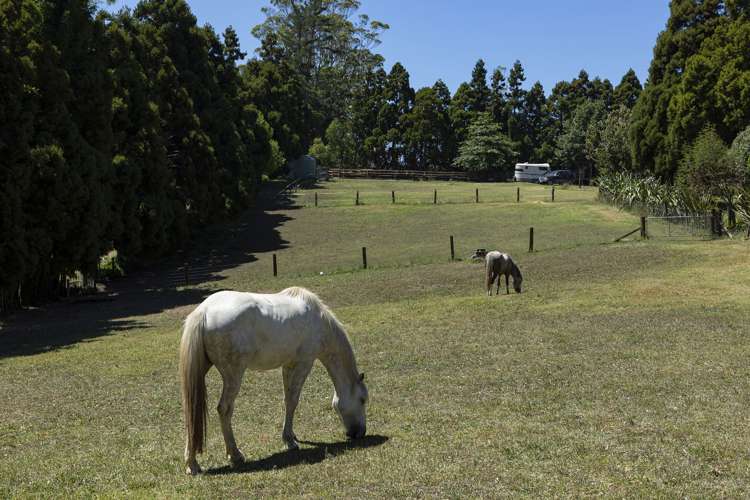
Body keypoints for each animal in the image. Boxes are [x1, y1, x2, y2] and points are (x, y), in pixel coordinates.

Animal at [182, 288, 370, 474]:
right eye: (362, 400)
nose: (360, 433)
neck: (318, 321)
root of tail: (203, 311)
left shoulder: (288, 365)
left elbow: (287, 400)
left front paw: (291, 436)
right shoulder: (304, 363)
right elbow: (293, 401)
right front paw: (289, 441)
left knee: (191, 410)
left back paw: (192, 464)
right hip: (233, 375)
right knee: (224, 409)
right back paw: (234, 455)